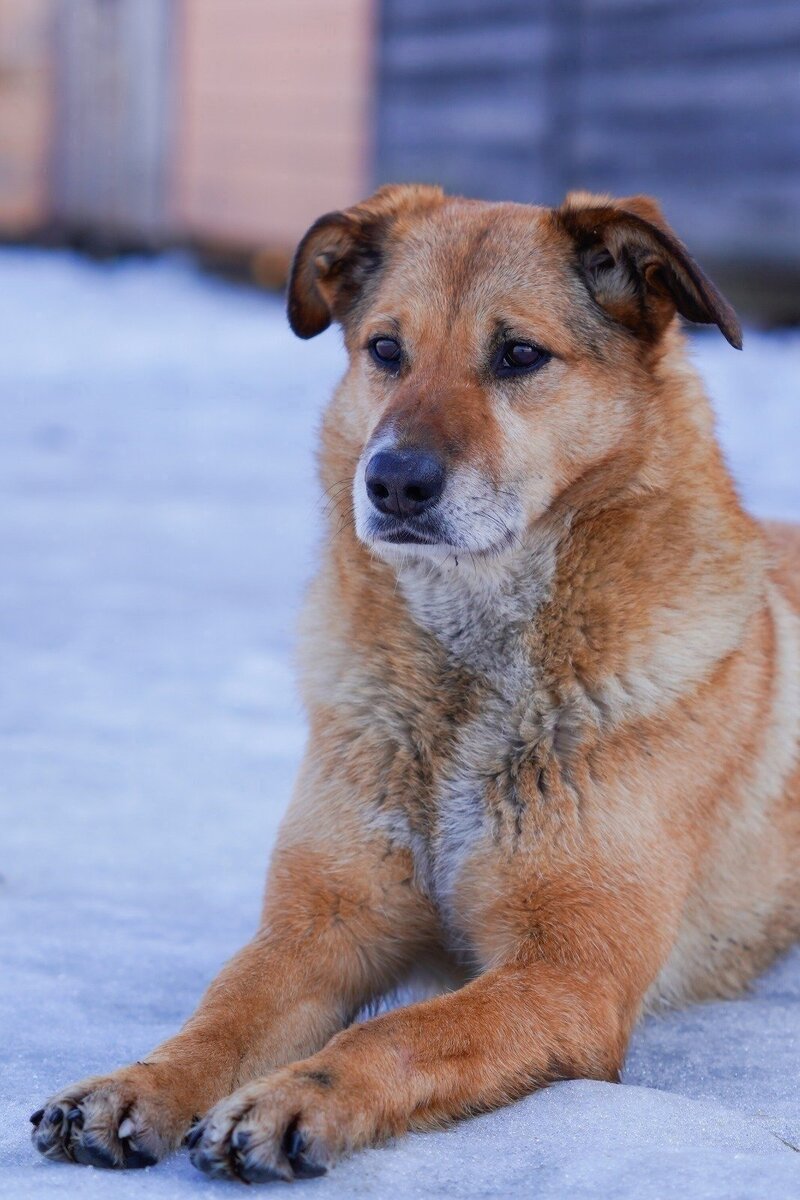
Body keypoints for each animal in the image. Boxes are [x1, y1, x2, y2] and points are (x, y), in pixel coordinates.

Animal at [31, 184, 800, 1180]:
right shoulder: (323, 924)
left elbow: (398, 1034)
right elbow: (224, 1013)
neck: (469, 671)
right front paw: (136, 1083)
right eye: (386, 350)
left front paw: (290, 1098)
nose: (393, 481)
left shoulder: (567, 973)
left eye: (520, 355)